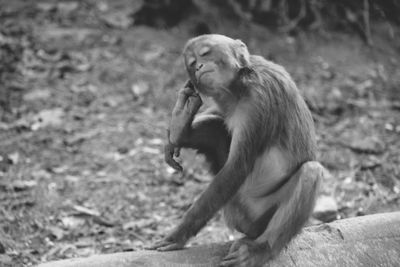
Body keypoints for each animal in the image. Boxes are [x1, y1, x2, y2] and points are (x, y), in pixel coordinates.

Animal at [150, 34, 328, 266]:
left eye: (205, 53)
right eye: (191, 63)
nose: (198, 66)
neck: (238, 86)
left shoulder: (259, 99)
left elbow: (237, 167)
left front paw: (178, 235)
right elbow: (219, 118)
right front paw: (177, 131)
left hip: (259, 214)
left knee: (310, 171)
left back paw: (261, 249)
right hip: (236, 206)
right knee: (218, 129)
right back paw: (182, 127)